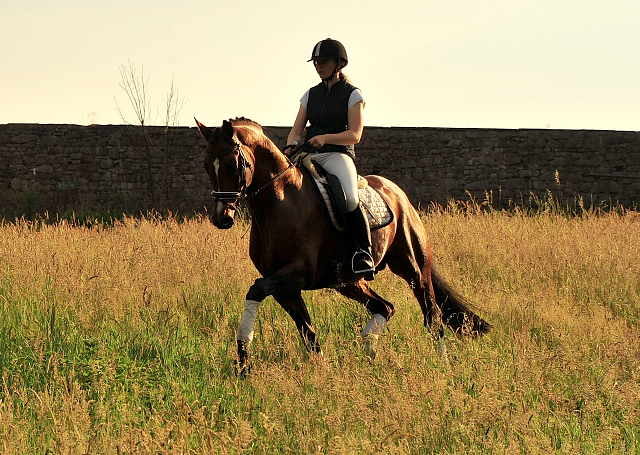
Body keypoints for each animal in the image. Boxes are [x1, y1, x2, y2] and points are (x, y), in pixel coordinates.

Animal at [195, 117, 490, 374]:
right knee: (385, 307)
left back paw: (442, 362)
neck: (278, 204)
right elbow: (308, 333)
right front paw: (319, 370)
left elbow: (256, 290)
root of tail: (397, 193)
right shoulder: (284, 286)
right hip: (349, 281)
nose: (221, 218)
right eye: (207, 166)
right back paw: (370, 354)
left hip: (413, 269)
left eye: (232, 165)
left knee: (432, 314)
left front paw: (243, 359)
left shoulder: (298, 274)